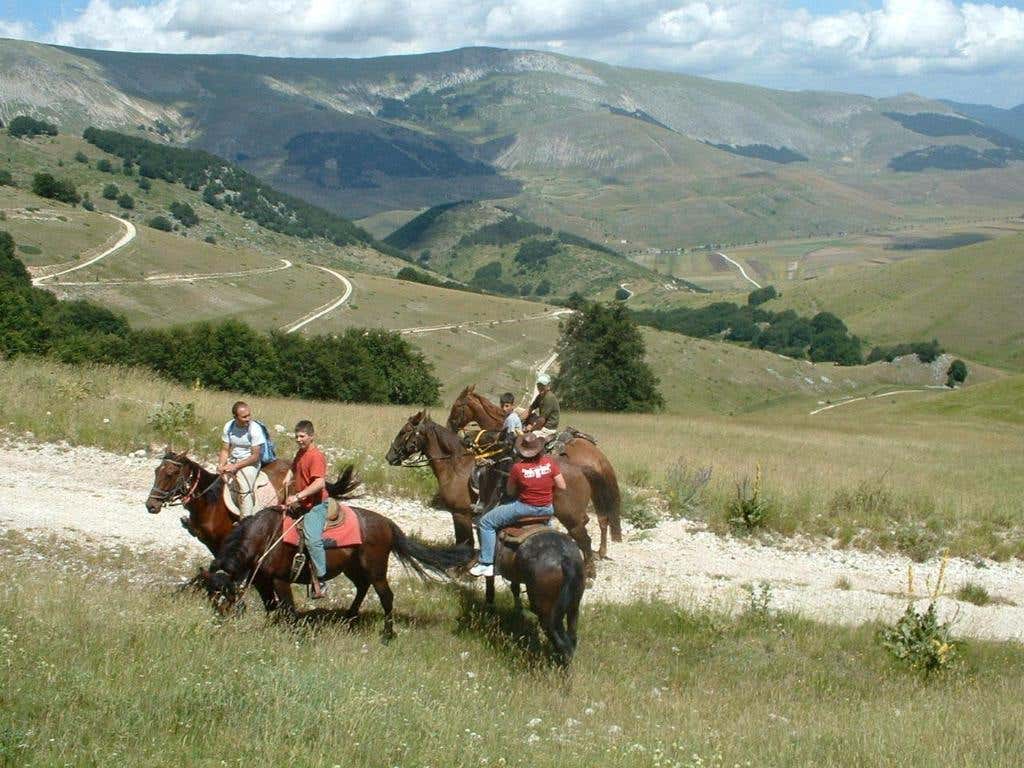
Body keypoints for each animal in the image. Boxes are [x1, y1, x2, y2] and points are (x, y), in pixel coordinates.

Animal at [200, 466, 472, 638]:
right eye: (209, 595)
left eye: (222, 595)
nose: (218, 622)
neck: (266, 537)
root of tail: (386, 523)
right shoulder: (261, 581)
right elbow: (271, 606)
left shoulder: (280, 580)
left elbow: (288, 608)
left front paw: (294, 632)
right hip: (353, 567)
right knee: (362, 587)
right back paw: (350, 617)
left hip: (376, 569)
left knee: (386, 596)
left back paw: (387, 634)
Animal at [385, 411, 598, 577]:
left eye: (403, 432)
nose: (390, 456)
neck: (456, 467)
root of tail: (580, 469)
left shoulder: (461, 514)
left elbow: (466, 541)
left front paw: (461, 568)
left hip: (570, 518)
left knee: (584, 540)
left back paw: (589, 573)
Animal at [446, 385, 623, 557]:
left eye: (457, 406)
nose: (449, 427)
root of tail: (598, 455)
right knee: (601, 519)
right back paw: (600, 550)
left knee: (592, 519)